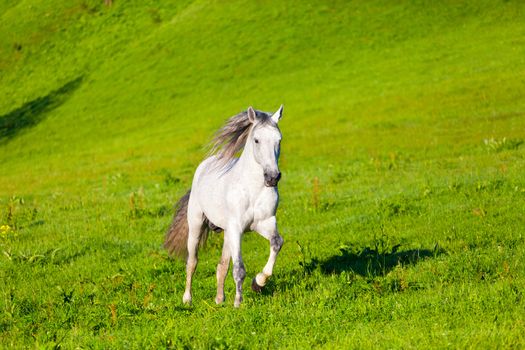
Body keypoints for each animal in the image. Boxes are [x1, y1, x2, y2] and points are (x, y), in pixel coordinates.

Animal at [166, 105, 284, 308]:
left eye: (279, 140)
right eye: (256, 140)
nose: (272, 177)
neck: (252, 189)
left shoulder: (265, 223)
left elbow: (276, 243)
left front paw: (258, 283)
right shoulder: (237, 228)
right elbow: (239, 269)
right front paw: (238, 303)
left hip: (228, 233)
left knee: (221, 266)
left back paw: (219, 300)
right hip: (196, 224)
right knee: (192, 262)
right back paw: (187, 299)